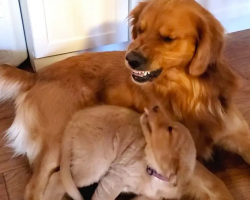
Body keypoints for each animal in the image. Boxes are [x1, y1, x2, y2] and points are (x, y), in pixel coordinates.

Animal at [44, 104, 232, 200]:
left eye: (170, 129)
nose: (155, 106)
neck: (154, 171)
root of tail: (74, 119)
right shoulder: (114, 178)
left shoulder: (153, 197)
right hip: (94, 164)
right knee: (57, 178)